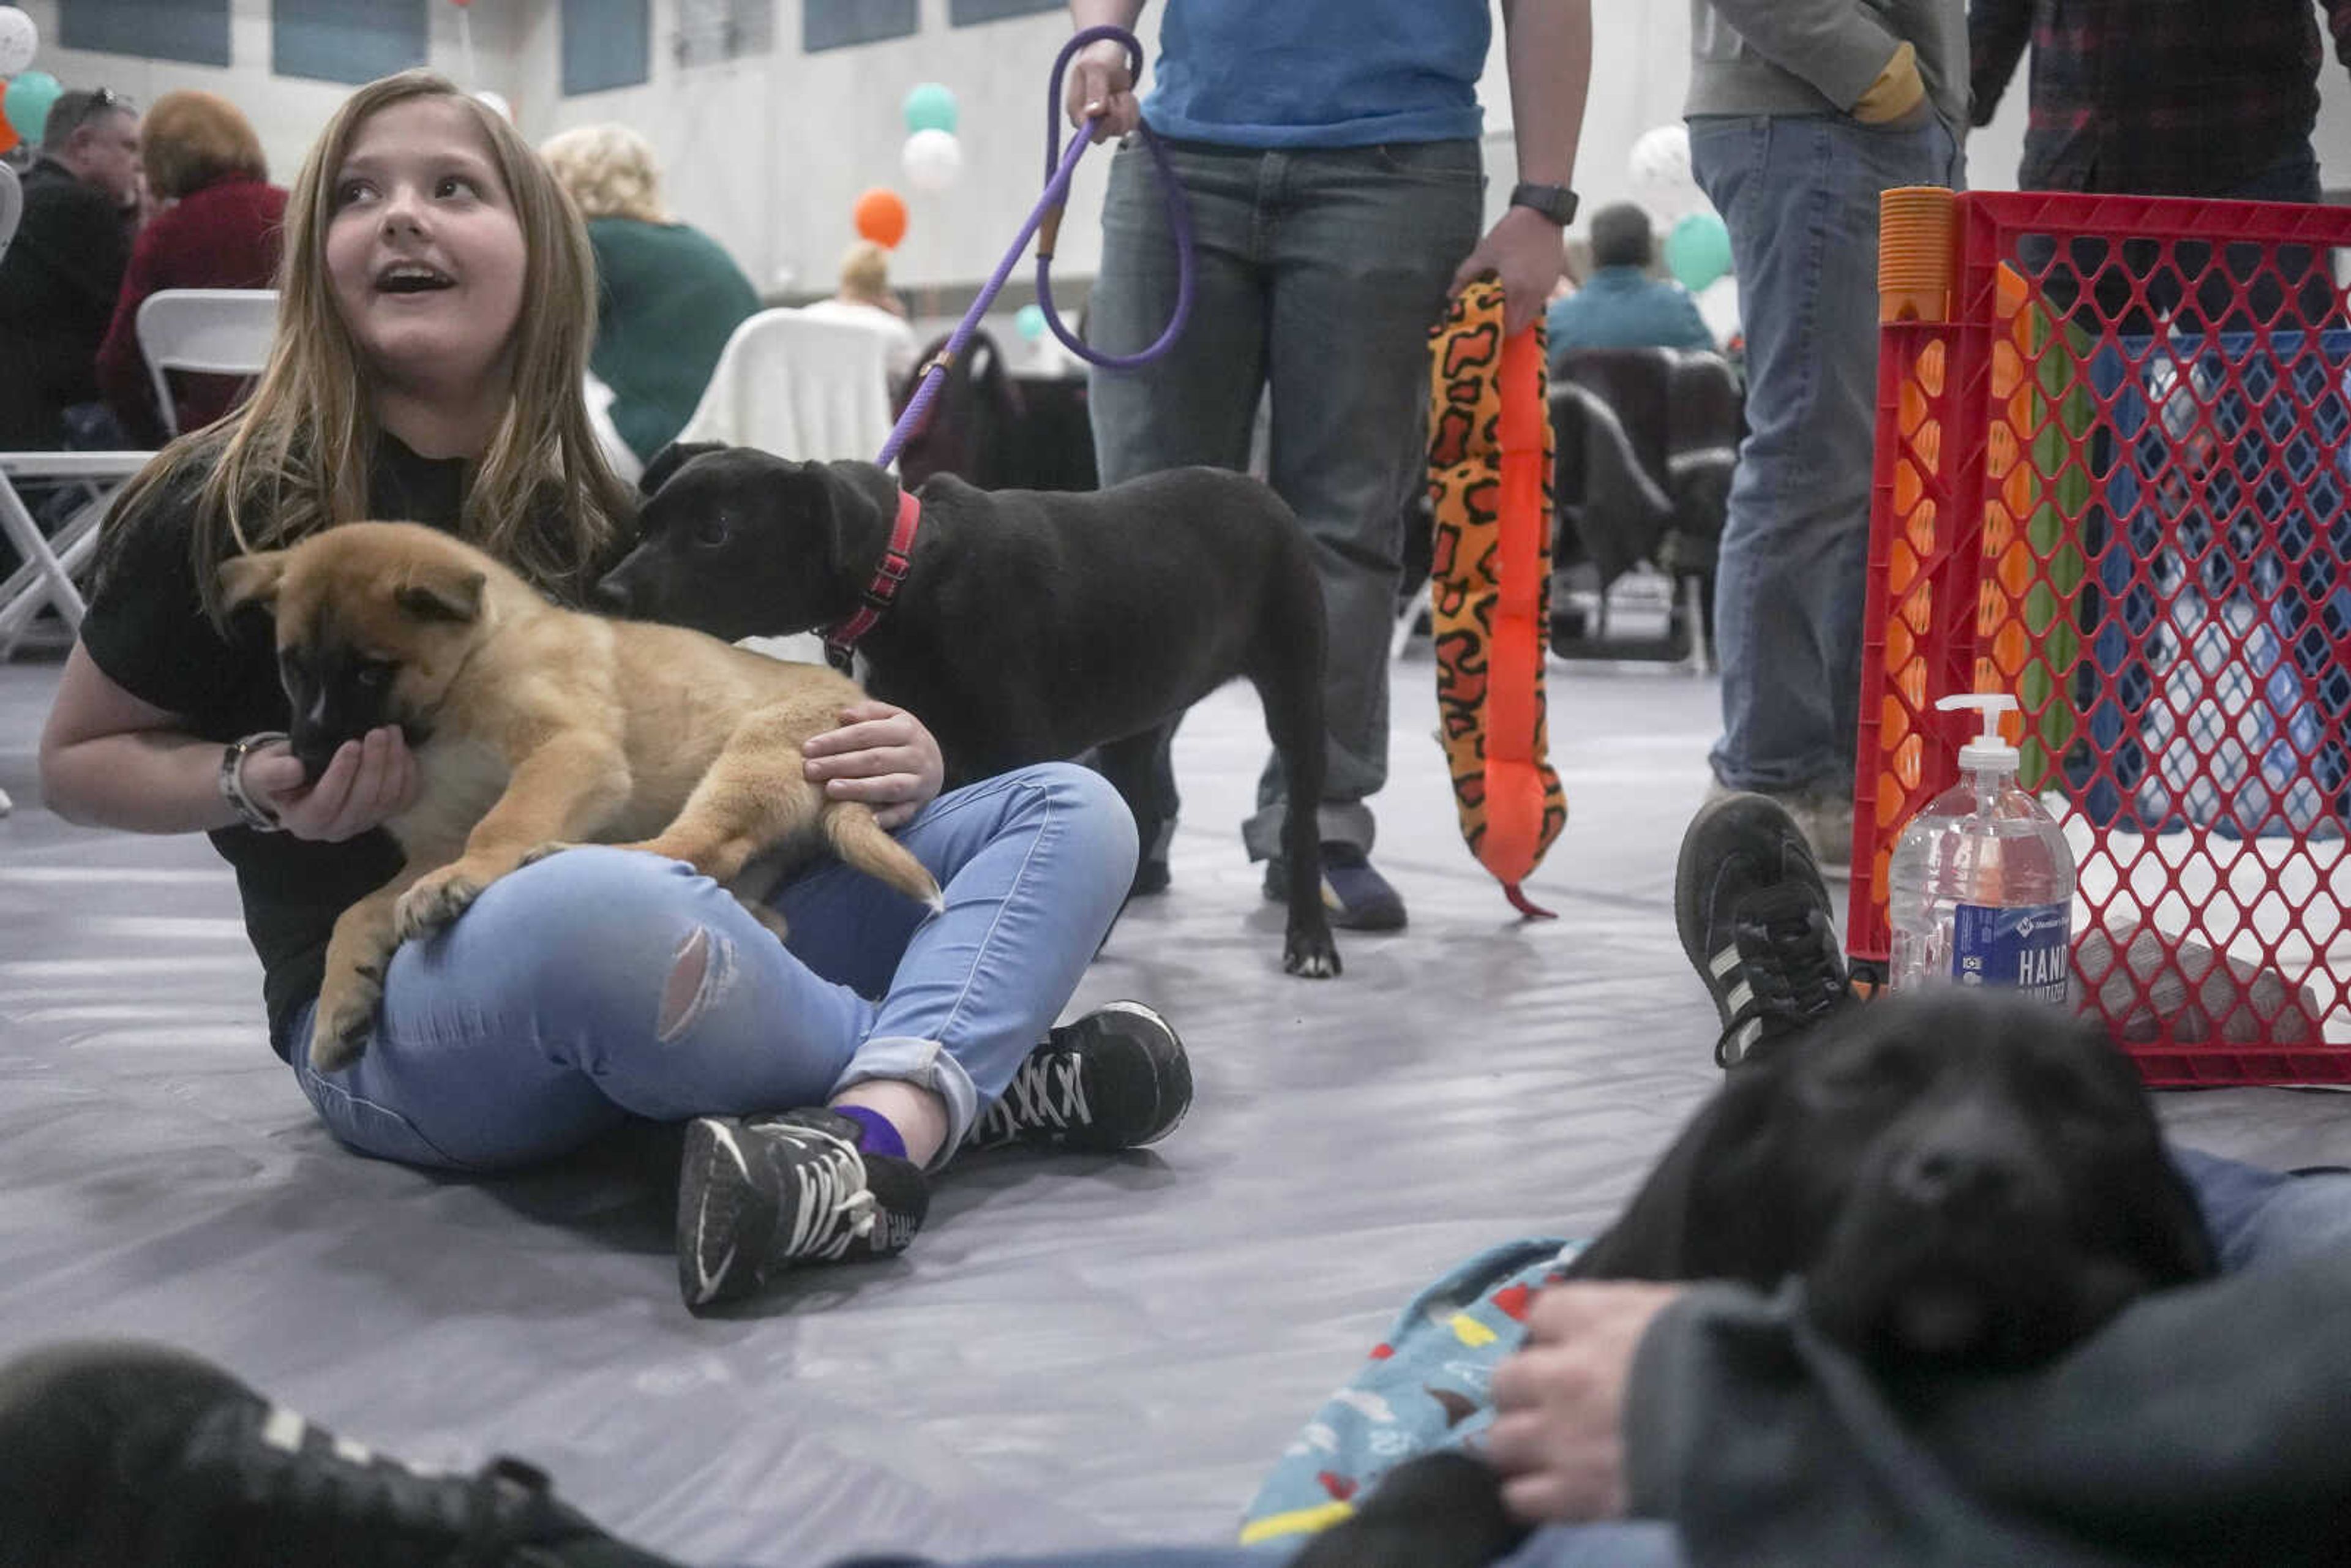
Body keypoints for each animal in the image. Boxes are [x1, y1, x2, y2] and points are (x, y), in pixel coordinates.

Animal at [222, 522, 945, 1071]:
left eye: (372, 671)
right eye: (292, 667)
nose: (308, 765)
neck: (463, 682)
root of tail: (854, 696)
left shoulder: (573, 752)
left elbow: (504, 821)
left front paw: (466, 878)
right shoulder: (432, 842)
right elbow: (357, 913)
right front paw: (341, 1003)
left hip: (753, 750)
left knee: (692, 843)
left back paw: (565, 854)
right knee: (741, 888)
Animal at [597, 444, 1344, 982]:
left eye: (715, 532)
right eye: (644, 523)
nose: (608, 592)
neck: (903, 572)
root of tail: (1259, 489)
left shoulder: (1013, 748)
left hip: (1297, 690)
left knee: (1303, 821)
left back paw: (1310, 937)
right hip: (1140, 711)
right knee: (1142, 806)